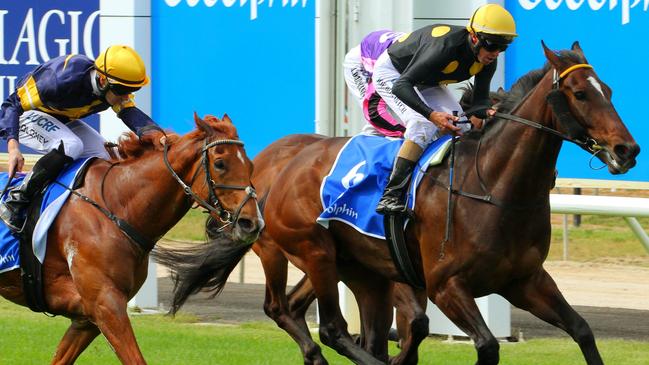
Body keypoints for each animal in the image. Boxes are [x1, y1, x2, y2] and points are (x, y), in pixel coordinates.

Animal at [0, 112, 264, 362]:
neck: (117, 206)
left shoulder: (86, 319)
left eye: (250, 165)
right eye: (220, 164)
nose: (252, 223)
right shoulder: (106, 305)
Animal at [161, 40, 636, 364]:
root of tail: (272, 165)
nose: (627, 150)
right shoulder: (445, 285)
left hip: (358, 269)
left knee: (316, 316)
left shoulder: (525, 280)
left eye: (610, 90)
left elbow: (582, 330)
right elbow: (482, 344)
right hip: (309, 250)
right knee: (320, 323)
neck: (492, 185)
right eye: (580, 93)